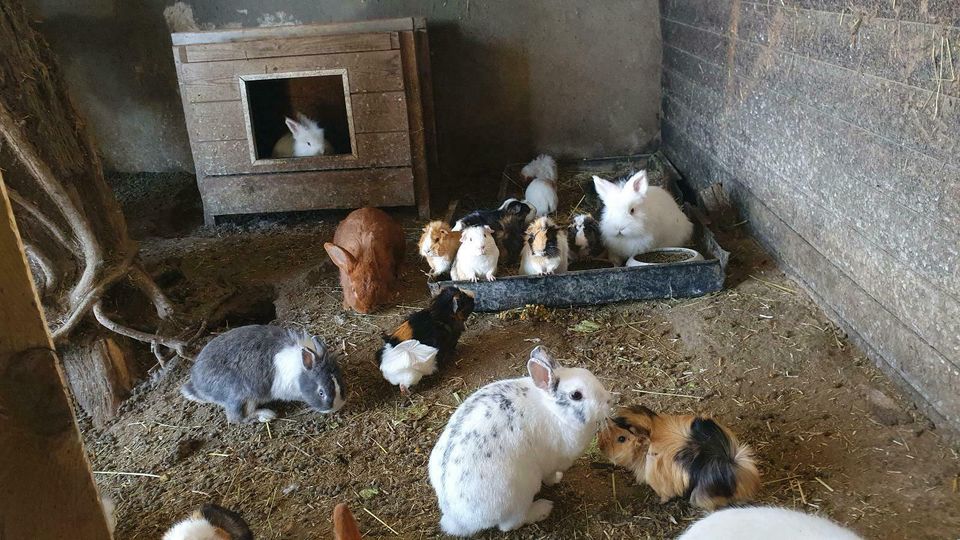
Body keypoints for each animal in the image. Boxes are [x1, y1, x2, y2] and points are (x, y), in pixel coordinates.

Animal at [180, 322, 344, 424]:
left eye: (340, 382)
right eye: (321, 392)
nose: (337, 407)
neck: (300, 370)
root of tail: (198, 387)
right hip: (242, 395)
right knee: (236, 418)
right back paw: (266, 415)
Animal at [430, 346, 612, 536]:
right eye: (576, 395)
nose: (608, 401)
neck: (554, 410)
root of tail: (459, 519)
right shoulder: (551, 463)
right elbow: (550, 476)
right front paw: (557, 479)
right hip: (520, 493)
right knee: (511, 524)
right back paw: (543, 508)